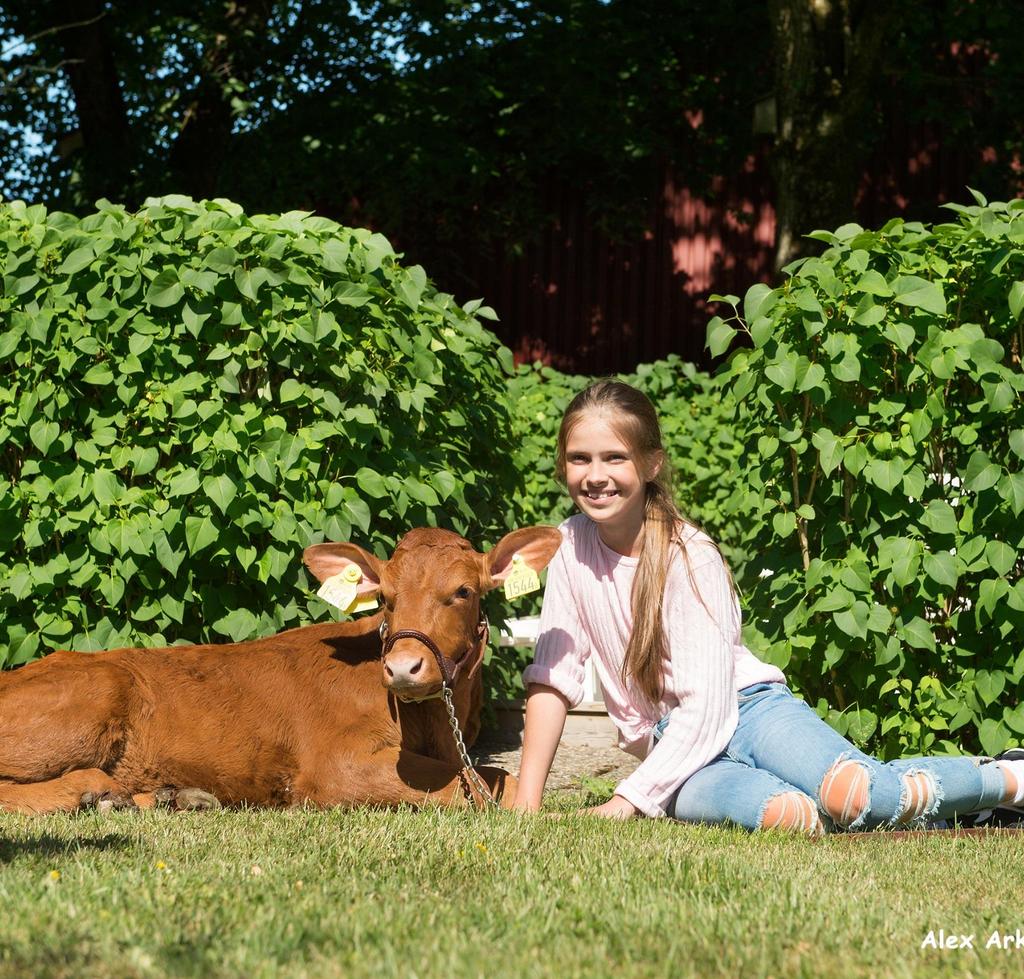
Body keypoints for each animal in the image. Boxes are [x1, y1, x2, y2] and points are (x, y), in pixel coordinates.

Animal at [0, 524, 561, 815]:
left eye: (463, 591)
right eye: (386, 597)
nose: (403, 667)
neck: (433, 728)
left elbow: (493, 777)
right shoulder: (333, 767)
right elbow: (465, 789)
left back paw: (167, 796)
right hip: (91, 696)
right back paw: (90, 789)